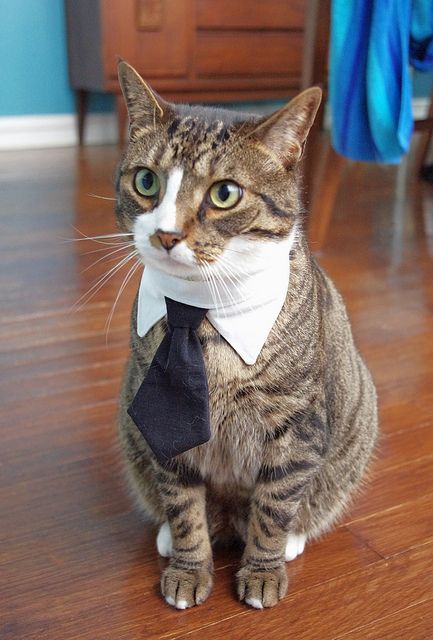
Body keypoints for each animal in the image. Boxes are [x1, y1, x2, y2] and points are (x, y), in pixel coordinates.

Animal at [115, 60, 378, 608]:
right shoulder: (164, 430)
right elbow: (184, 506)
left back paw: (293, 538)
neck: (201, 317)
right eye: (146, 181)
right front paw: (188, 569)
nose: (166, 234)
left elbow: (274, 507)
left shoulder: (298, 428)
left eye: (224, 193)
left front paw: (262, 572)